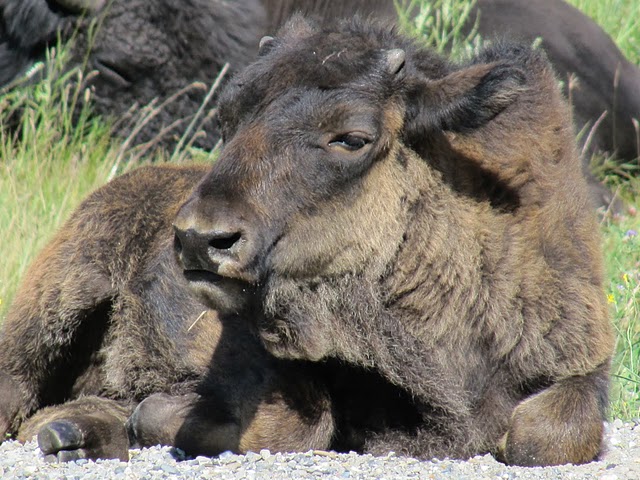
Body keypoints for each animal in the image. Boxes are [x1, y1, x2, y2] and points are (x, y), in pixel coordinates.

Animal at [0, 16, 616, 466]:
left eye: (352, 136)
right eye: (226, 121)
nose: (200, 239)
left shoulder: (580, 363)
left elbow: (545, 433)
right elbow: (302, 421)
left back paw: (72, 432)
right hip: (52, 305)